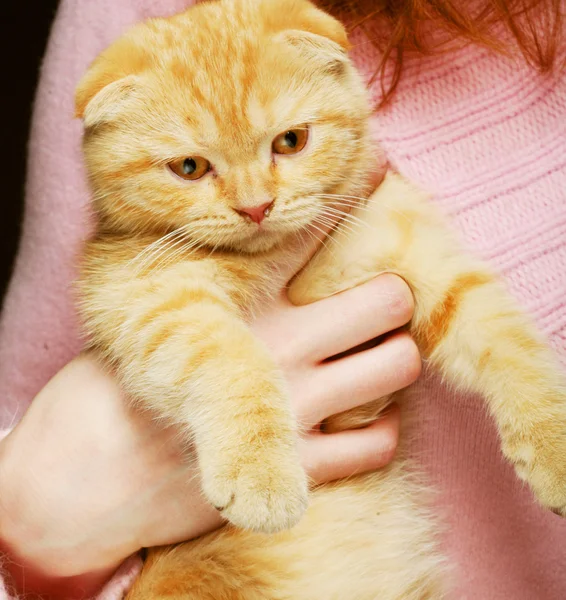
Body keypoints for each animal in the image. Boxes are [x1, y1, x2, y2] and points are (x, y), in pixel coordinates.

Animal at [75, 0, 566, 596]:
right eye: (189, 168)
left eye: (291, 141)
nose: (256, 207)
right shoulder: (145, 293)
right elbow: (230, 359)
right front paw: (261, 476)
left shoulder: (415, 250)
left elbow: (506, 338)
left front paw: (554, 447)